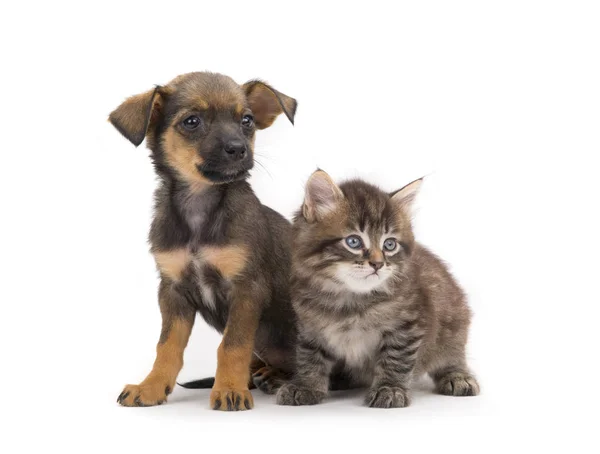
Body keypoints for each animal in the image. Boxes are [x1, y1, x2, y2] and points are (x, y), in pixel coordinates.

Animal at [109, 72, 298, 412]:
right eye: (192, 121)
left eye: (247, 120)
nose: (238, 149)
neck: (199, 203)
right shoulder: (173, 290)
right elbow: (166, 346)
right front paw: (151, 386)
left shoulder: (247, 289)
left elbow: (233, 345)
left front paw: (230, 389)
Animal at [276, 170, 478, 408]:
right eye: (353, 241)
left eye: (389, 244)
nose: (378, 264)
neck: (349, 299)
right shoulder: (309, 327)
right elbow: (310, 357)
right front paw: (306, 385)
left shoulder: (408, 325)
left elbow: (396, 359)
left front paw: (389, 388)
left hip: (453, 321)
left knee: (453, 355)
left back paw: (458, 376)